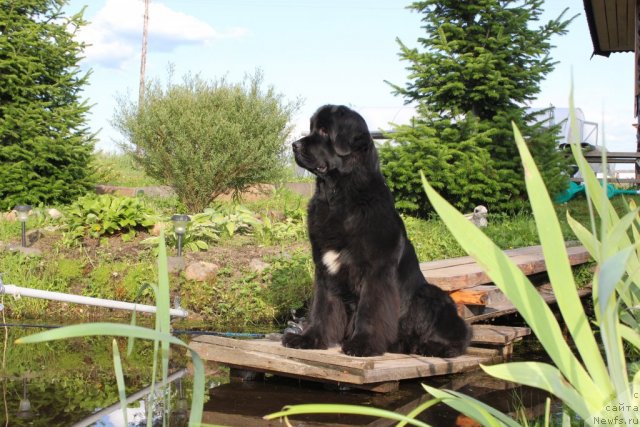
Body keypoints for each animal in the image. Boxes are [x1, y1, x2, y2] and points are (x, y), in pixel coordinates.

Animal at [282, 106, 472, 358]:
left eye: (323, 130)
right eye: (312, 128)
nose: (294, 145)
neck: (338, 197)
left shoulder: (376, 271)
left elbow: (370, 310)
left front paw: (363, 344)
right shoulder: (324, 269)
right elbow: (321, 308)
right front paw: (308, 339)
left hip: (430, 294)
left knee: (461, 335)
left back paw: (430, 347)